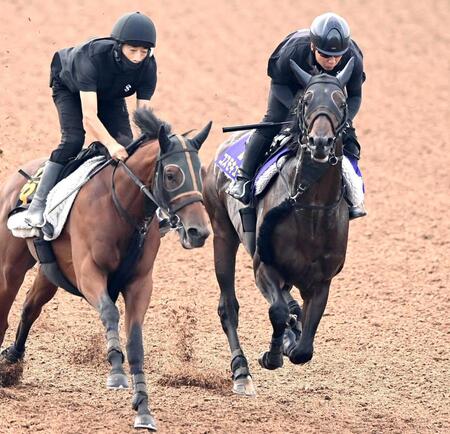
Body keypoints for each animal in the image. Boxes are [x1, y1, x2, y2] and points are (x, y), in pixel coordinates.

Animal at [0, 108, 213, 430]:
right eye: (172, 174)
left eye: (200, 173)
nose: (198, 232)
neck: (122, 208)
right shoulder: (89, 273)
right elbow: (110, 313)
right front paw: (115, 370)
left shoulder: (140, 284)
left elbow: (135, 342)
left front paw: (143, 408)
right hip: (11, 265)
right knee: (5, 308)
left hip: (49, 274)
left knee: (29, 308)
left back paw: (13, 360)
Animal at [204, 58, 356, 396]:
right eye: (307, 99)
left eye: (341, 102)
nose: (321, 142)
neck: (310, 207)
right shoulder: (265, 266)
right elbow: (278, 312)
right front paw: (272, 355)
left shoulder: (321, 281)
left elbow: (304, 349)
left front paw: (291, 341)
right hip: (222, 232)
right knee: (228, 307)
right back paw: (242, 372)